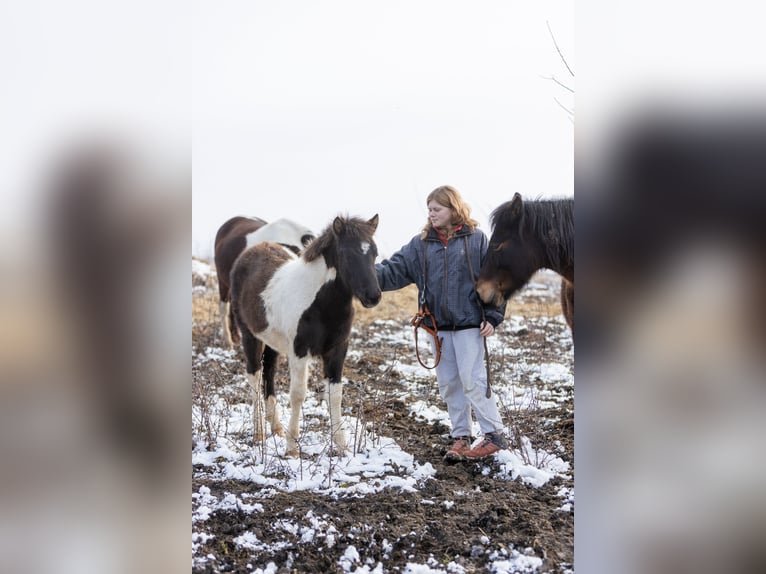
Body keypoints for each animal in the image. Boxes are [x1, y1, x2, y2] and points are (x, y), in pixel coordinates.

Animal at [230, 216, 382, 460]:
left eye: (374, 253)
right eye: (347, 254)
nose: (373, 296)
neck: (321, 303)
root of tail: (251, 250)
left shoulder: (337, 350)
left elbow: (335, 395)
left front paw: (342, 446)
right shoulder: (299, 352)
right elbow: (298, 394)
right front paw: (292, 448)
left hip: (273, 340)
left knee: (269, 372)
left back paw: (276, 428)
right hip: (249, 335)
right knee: (254, 375)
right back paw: (258, 432)